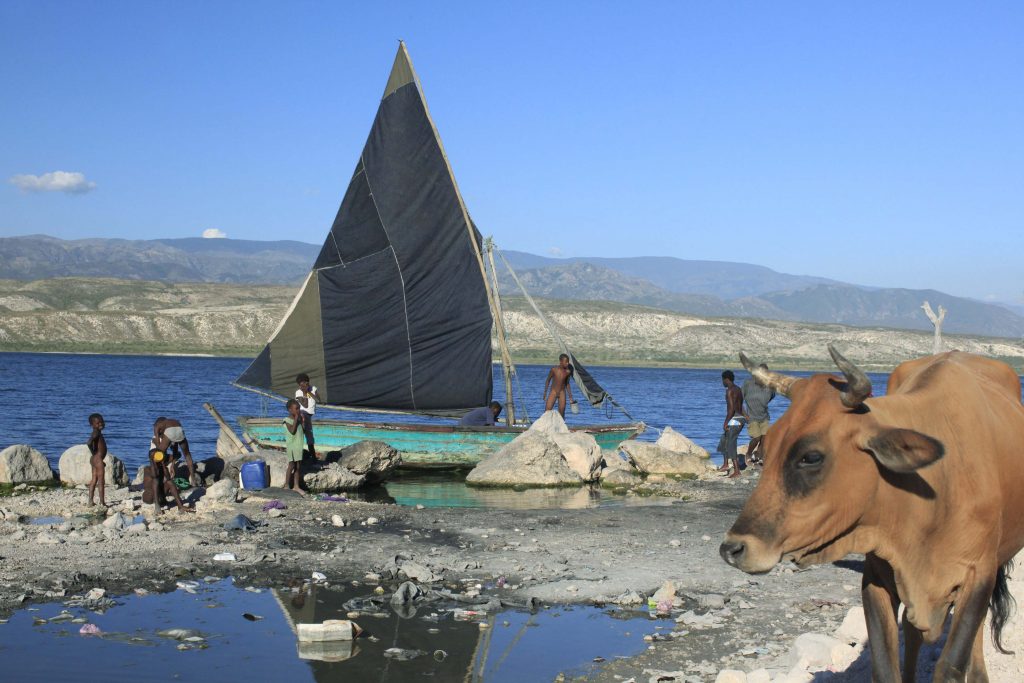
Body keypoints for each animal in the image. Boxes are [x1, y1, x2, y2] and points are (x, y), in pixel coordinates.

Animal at [720, 348, 1024, 683]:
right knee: (914, 635)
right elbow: (886, 666)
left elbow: (952, 664)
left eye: (811, 457)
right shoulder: (878, 577)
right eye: (769, 446)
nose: (732, 548)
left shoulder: (978, 576)